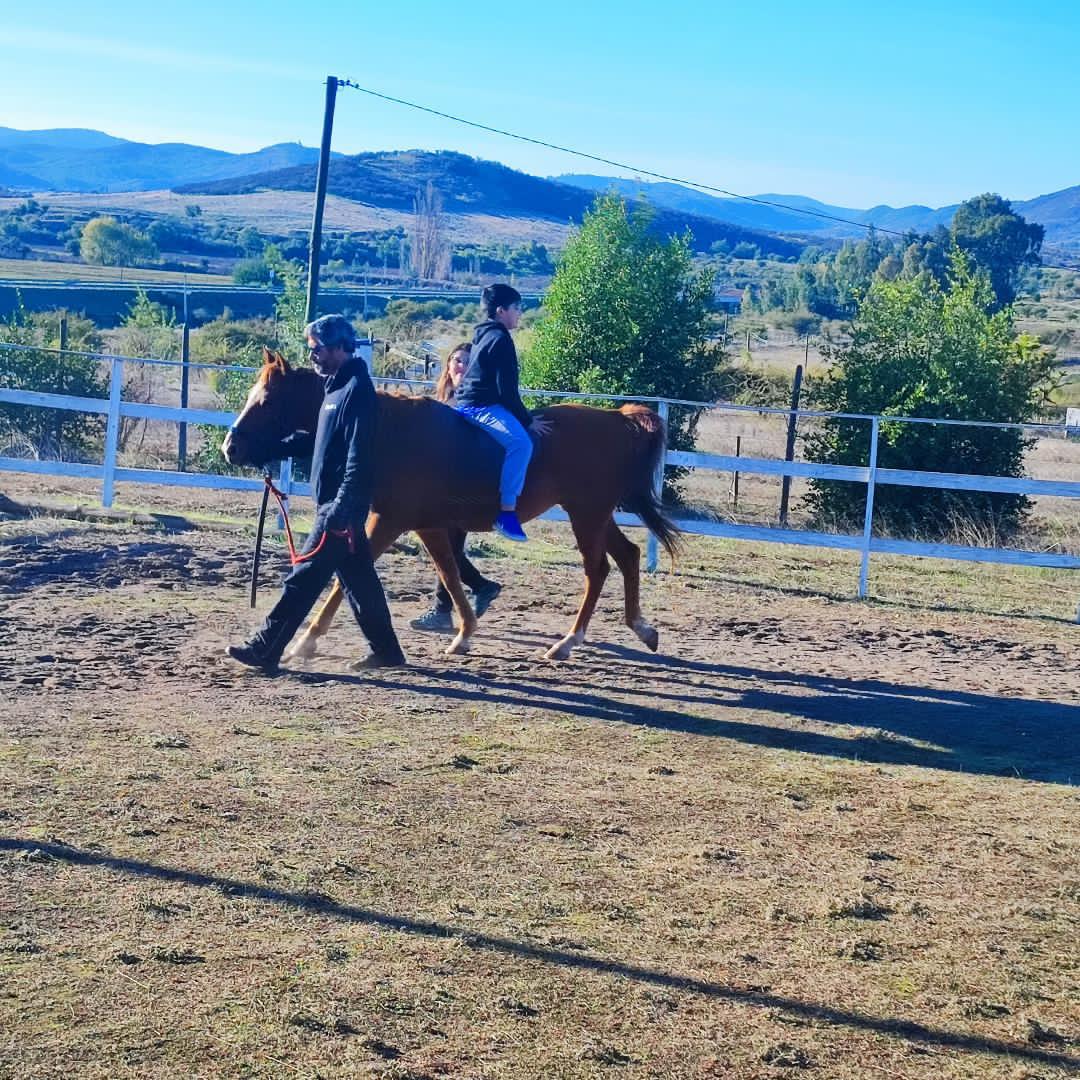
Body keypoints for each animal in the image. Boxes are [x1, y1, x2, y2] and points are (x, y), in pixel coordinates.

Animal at [222, 349, 680, 662]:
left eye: (266, 400)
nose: (231, 447)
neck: (384, 429)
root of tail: (617, 418)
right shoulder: (422, 524)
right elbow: (448, 571)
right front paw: (464, 632)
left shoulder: (390, 520)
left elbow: (346, 576)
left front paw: (305, 640)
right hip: (595, 515)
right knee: (628, 556)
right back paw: (642, 629)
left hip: (587, 516)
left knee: (598, 569)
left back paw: (568, 641)